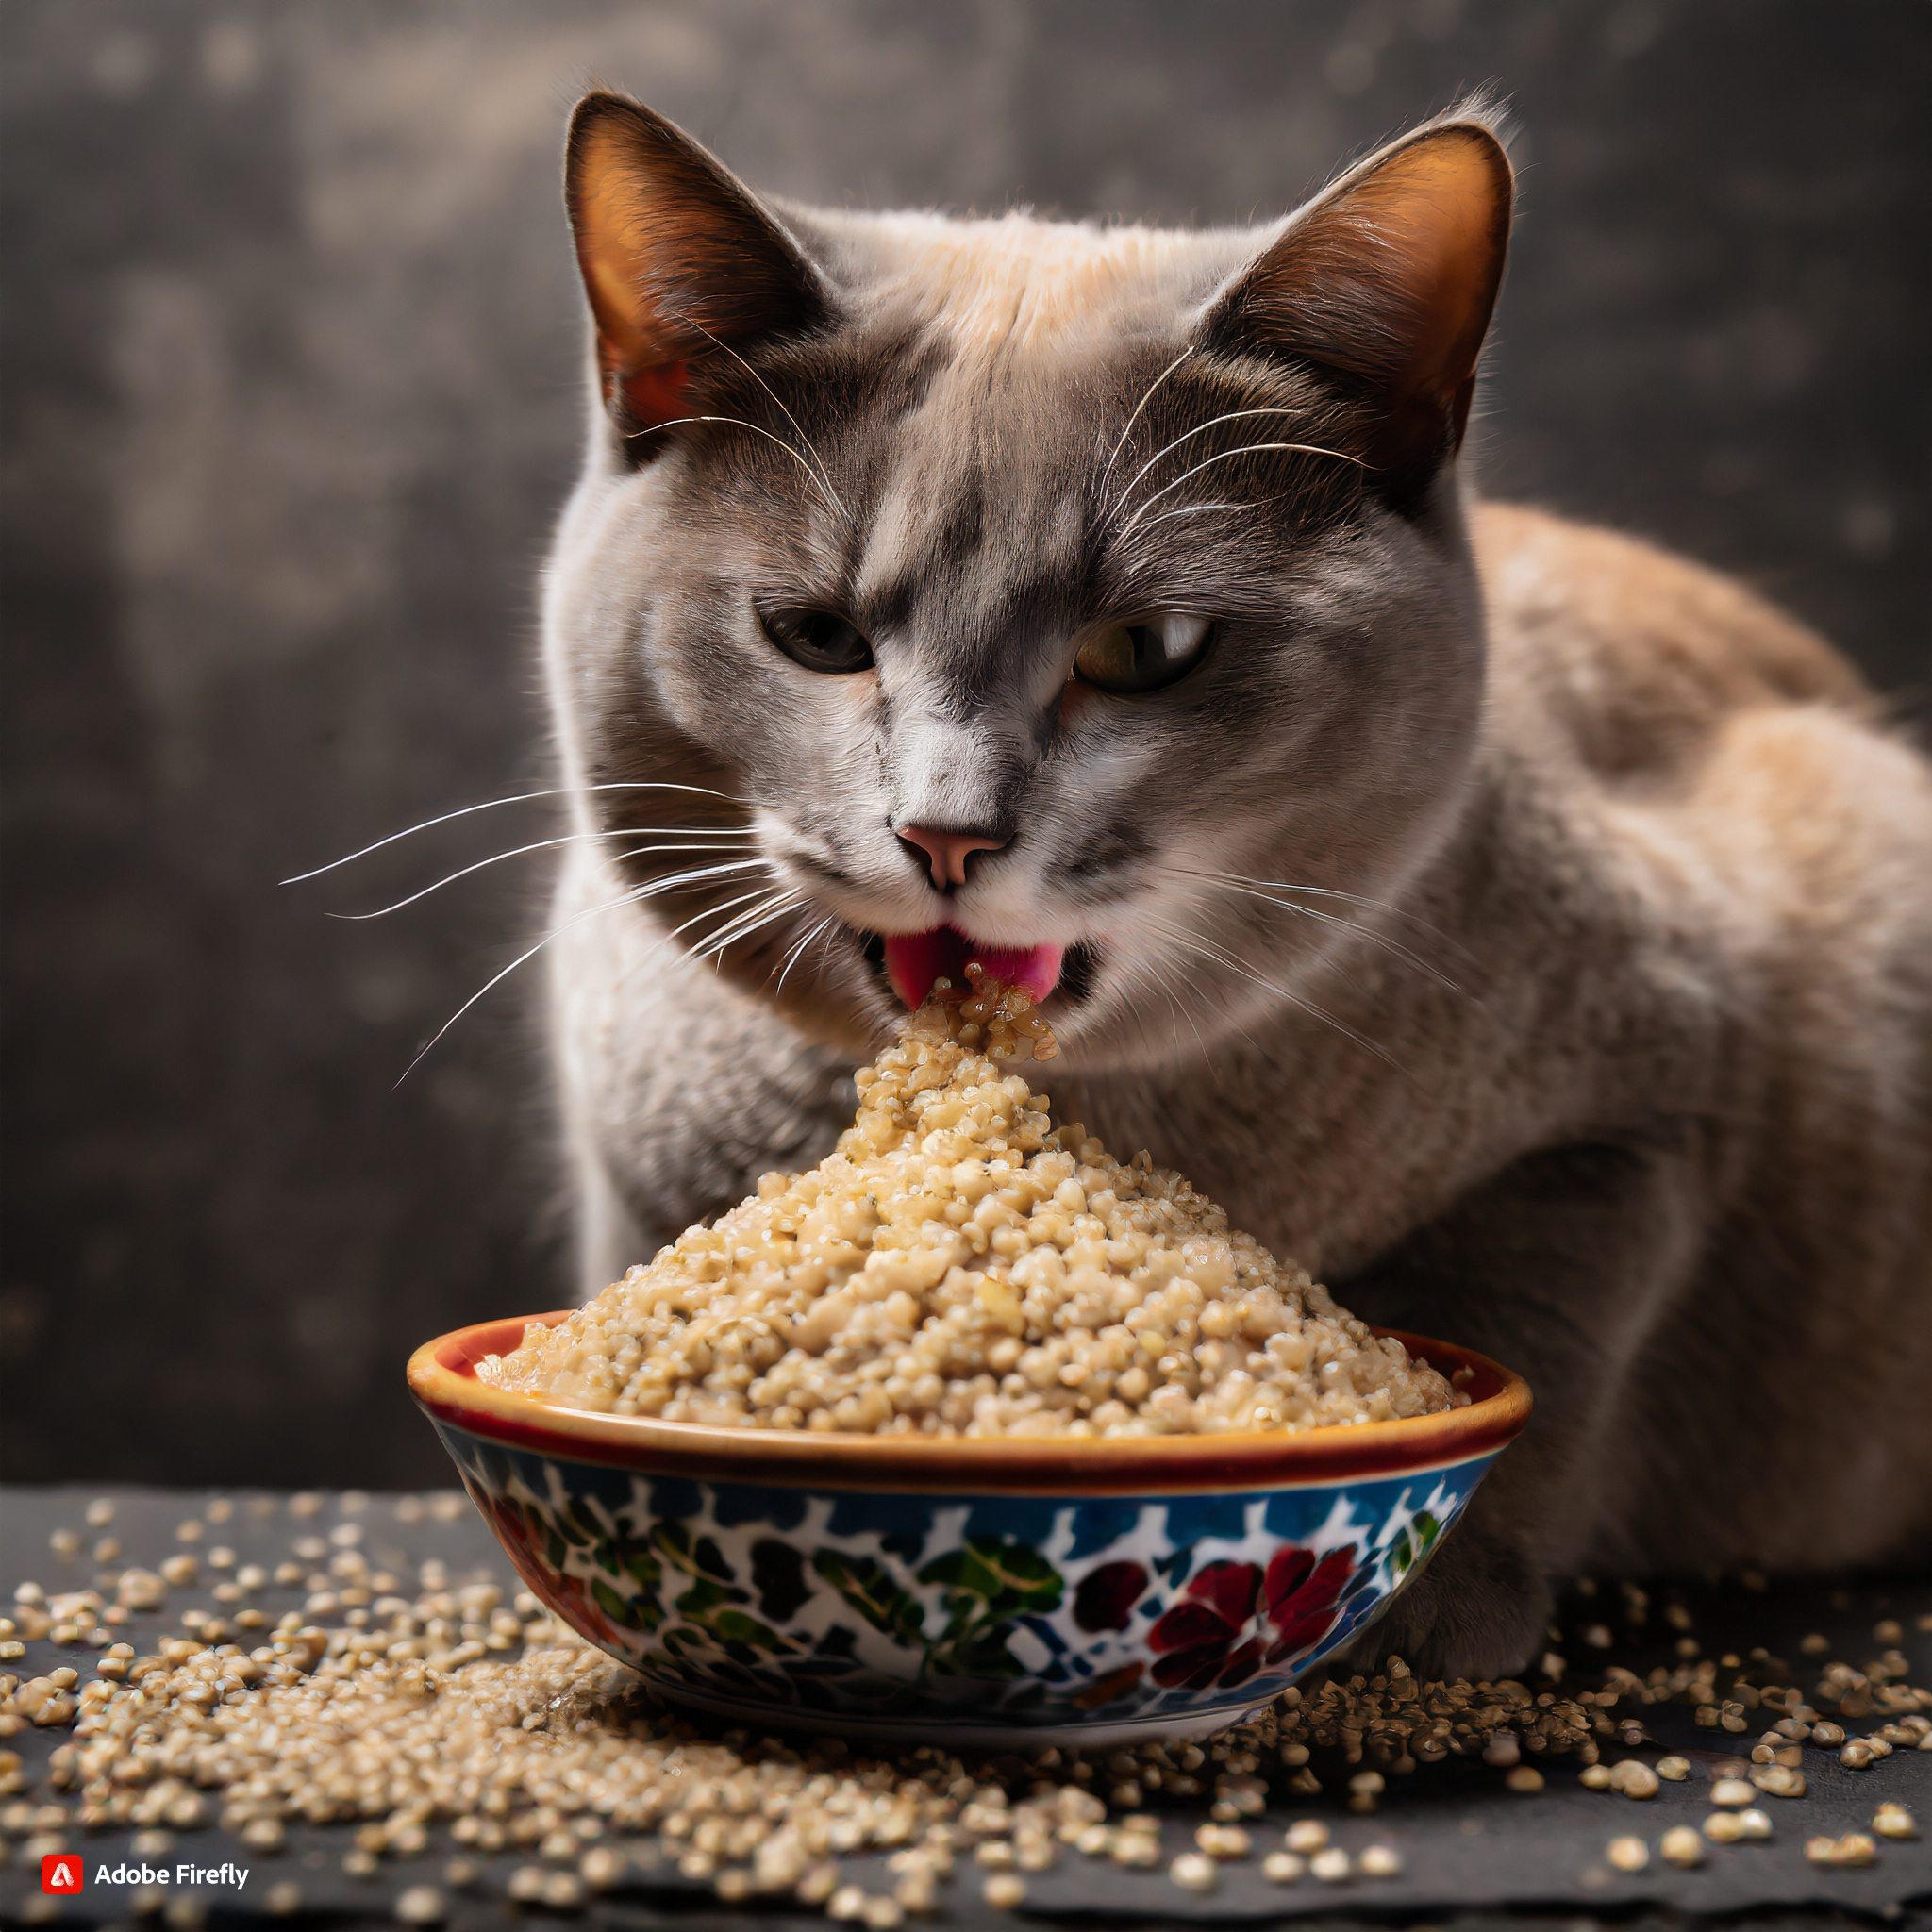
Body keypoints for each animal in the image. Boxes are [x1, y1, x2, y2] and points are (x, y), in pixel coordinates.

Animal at [533, 97, 1932, 1684]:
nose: (944, 834)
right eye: (815, 635)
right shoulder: (632, 1175)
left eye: (1144, 651)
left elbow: (1526, 1301)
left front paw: (1418, 1601)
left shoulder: (1657, 1084)